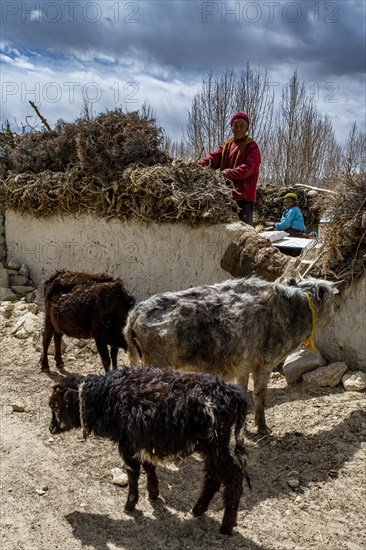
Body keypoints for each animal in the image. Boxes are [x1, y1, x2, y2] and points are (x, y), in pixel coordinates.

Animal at [48, 366, 250, 536]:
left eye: (56, 406)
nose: (51, 428)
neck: (105, 398)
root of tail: (232, 394)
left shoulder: (127, 443)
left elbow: (133, 472)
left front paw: (130, 504)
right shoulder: (141, 441)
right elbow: (148, 466)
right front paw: (153, 494)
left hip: (216, 443)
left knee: (233, 477)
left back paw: (226, 526)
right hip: (210, 446)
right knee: (214, 476)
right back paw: (197, 510)